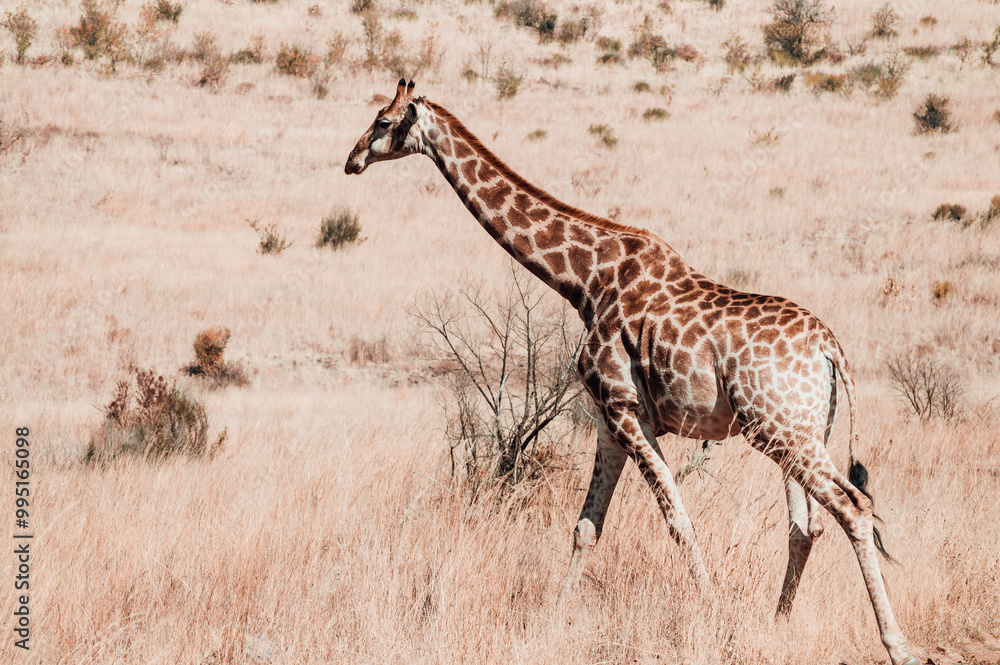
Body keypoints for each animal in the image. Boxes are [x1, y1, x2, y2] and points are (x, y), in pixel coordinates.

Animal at [345, 80, 919, 665]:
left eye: (383, 120)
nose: (352, 160)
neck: (583, 280)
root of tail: (830, 348)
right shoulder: (609, 420)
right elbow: (586, 527)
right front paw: (550, 625)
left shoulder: (627, 410)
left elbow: (678, 521)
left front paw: (718, 620)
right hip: (800, 429)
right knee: (806, 525)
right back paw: (778, 624)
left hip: (781, 428)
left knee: (853, 506)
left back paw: (897, 644)